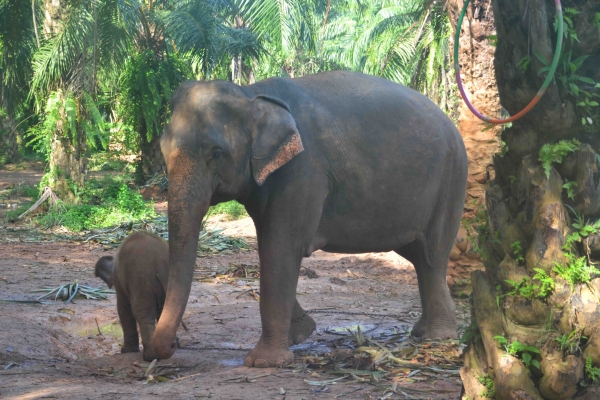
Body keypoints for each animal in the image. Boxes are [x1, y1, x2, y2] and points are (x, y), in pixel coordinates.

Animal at [95, 230, 171, 360]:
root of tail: (160, 263)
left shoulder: (119, 280)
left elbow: (123, 309)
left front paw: (126, 351)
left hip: (141, 281)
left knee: (143, 313)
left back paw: (150, 357)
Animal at [154, 70, 468, 368]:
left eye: (216, 153)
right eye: (163, 150)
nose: (171, 347)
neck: (251, 93)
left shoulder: (303, 170)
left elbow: (281, 247)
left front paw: (265, 362)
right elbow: (269, 246)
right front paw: (301, 334)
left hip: (450, 184)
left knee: (431, 257)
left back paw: (436, 337)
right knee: (418, 257)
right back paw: (423, 331)